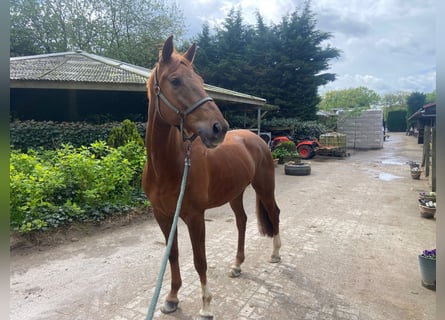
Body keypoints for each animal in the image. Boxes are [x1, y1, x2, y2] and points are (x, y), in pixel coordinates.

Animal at [142, 36, 280, 318]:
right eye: (175, 81)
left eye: (200, 79)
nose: (219, 128)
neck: (167, 167)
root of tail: (256, 138)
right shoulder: (163, 216)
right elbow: (173, 254)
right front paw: (172, 297)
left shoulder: (195, 217)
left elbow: (200, 260)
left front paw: (206, 305)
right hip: (236, 193)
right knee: (242, 221)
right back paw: (237, 265)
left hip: (264, 187)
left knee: (274, 213)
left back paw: (276, 254)